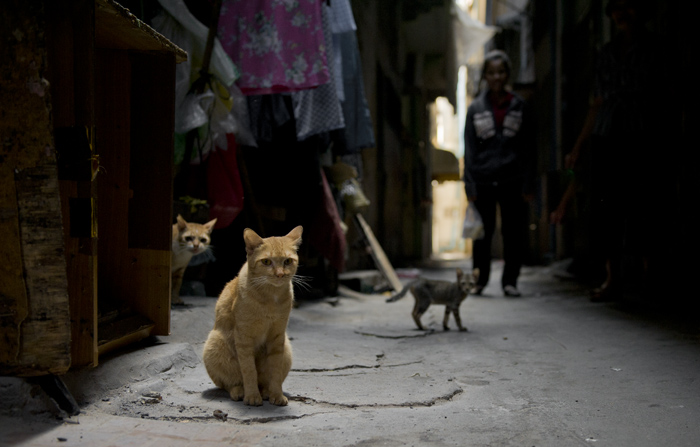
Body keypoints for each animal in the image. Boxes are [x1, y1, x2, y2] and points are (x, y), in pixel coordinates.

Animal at [201, 228, 302, 406]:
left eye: (288, 261)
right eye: (266, 262)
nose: (280, 274)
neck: (270, 298)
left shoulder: (278, 336)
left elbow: (275, 371)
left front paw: (276, 394)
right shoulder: (243, 337)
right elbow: (248, 371)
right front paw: (252, 396)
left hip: (287, 349)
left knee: (264, 382)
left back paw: (266, 392)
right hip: (213, 344)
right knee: (229, 383)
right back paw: (240, 392)